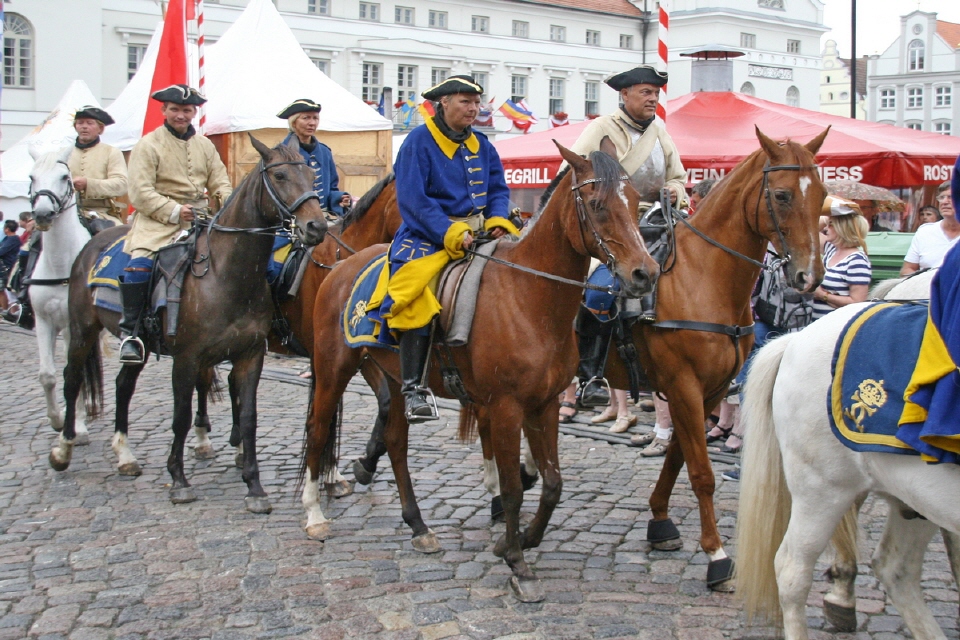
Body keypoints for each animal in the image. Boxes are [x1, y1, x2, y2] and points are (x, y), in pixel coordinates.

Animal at [55, 135, 327, 513]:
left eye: (312, 175)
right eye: (281, 175)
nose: (317, 227)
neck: (226, 274)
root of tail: (92, 242)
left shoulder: (250, 356)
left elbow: (249, 417)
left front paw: (254, 487)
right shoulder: (186, 358)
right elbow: (181, 416)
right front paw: (179, 480)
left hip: (137, 345)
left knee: (123, 385)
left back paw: (125, 455)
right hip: (82, 331)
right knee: (71, 380)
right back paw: (63, 448)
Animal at [301, 139, 659, 602]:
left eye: (633, 201)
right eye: (598, 205)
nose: (645, 273)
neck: (529, 297)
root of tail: (339, 267)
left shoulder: (543, 406)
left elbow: (553, 483)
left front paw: (520, 539)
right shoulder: (506, 409)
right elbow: (512, 489)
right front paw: (519, 564)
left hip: (397, 382)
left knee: (396, 442)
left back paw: (418, 524)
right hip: (332, 370)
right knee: (318, 431)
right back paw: (314, 515)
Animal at [602, 126, 831, 589]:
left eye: (822, 193)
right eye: (782, 195)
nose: (809, 276)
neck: (703, 276)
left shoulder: (708, 390)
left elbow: (679, 456)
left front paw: (660, 522)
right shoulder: (685, 387)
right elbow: (702, 472)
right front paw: (717, 555)